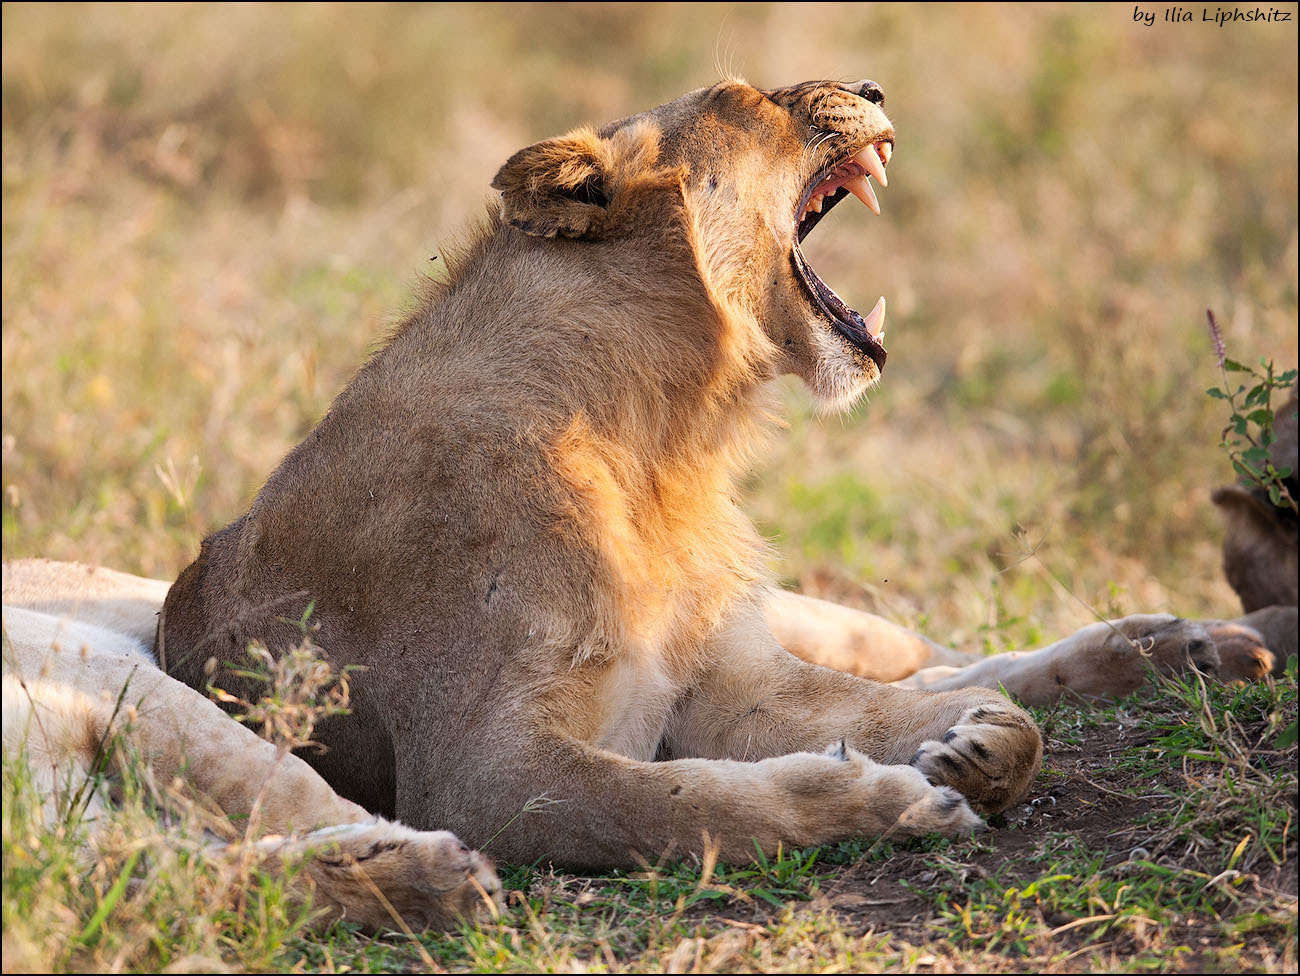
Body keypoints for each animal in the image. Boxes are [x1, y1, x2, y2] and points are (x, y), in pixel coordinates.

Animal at [0, 82, 1279, 899]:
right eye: (750, 99)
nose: (869, 82)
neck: (660, 437)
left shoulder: (729, 678)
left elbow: (904, 712)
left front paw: (979, 746)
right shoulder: (481, 774)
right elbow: (683, 805)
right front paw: (898, 796)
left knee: (932, 653)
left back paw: (1185, 643)